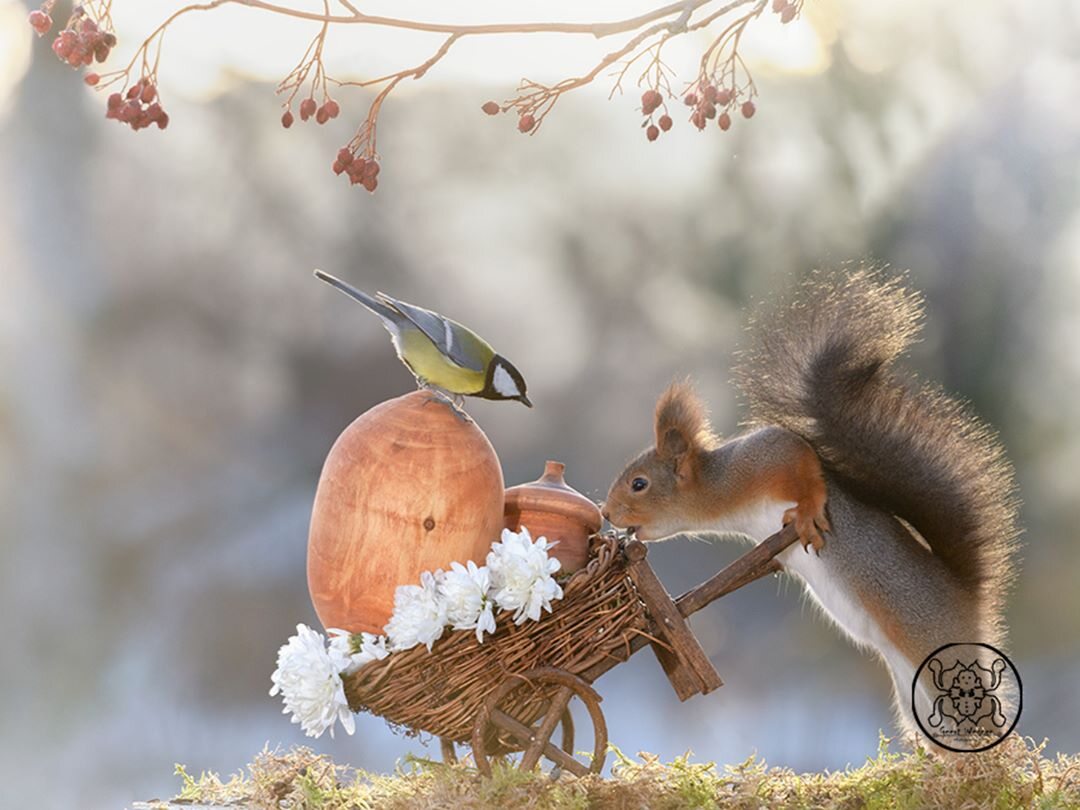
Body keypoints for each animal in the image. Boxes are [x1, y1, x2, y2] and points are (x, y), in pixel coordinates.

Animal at [609, 271, 1019, 747]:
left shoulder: (767, 456)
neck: (724, 494)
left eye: (639, 484)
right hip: (915, 695)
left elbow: (806, 467)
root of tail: (969, 597)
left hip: (931, 648)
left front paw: (808, 512)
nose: (608, 514)